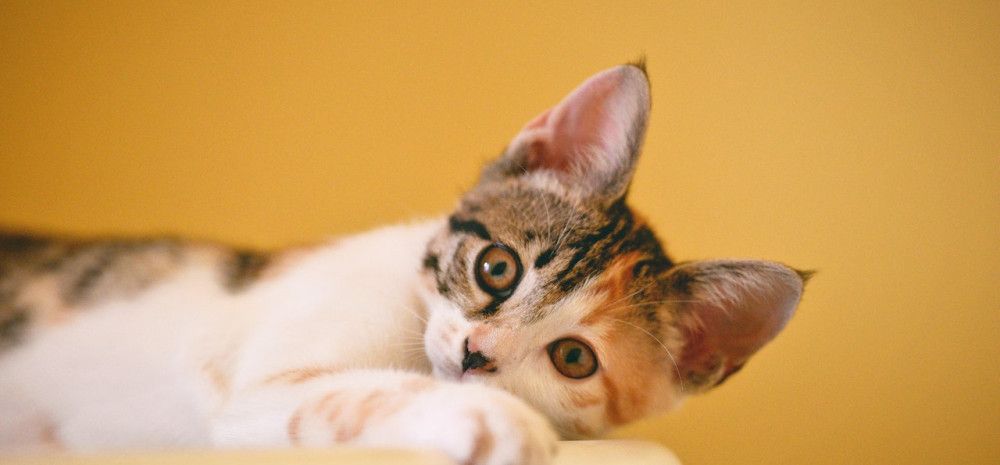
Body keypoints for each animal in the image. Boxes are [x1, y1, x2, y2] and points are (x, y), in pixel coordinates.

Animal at [0, 62, 808, 464]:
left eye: (575, 358)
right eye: (497, 269)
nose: (479, 355)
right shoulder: (249, 397)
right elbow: (351, 392)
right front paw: (496, 420)